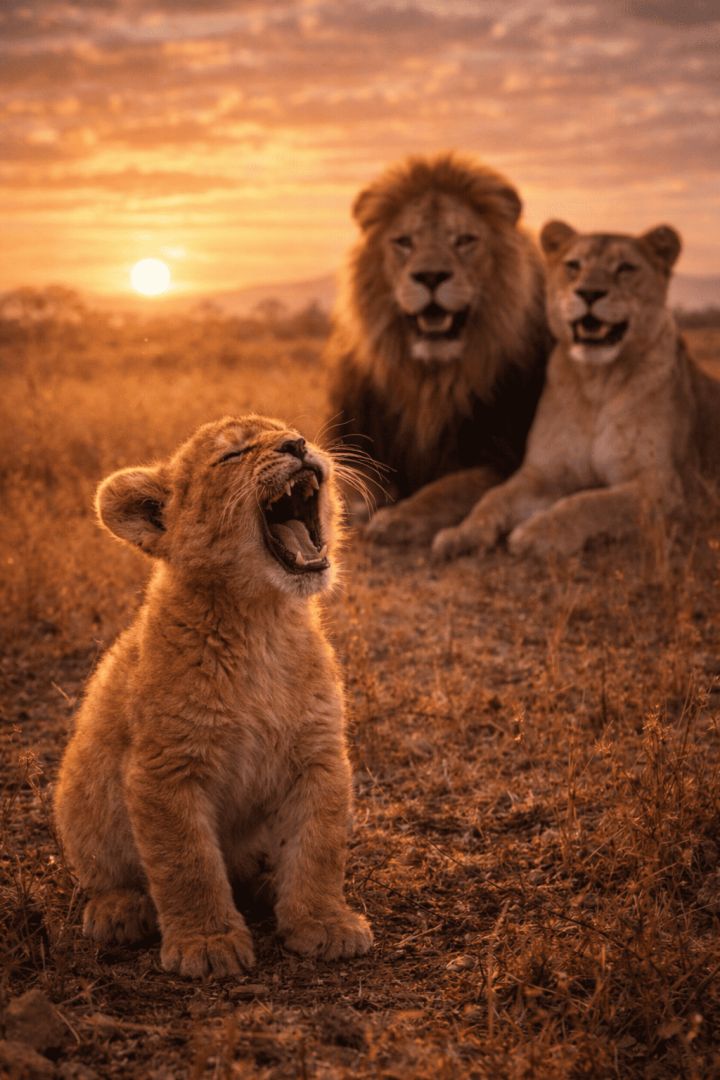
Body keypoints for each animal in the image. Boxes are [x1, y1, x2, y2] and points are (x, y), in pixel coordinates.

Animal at [54, 415, 373, 979]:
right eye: (232, 456)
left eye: (289, 430)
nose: (297, 445)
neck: (263, 622)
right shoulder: (165, 768)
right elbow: (187, 862)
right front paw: (206, 943)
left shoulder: (319, 755)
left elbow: (319, 846)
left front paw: (324, 923)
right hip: (78, 794)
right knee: (103, 873)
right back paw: (119, 911)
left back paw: (268, 883)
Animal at [327, 152, 551, 546]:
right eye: (404, 241)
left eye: (464, 240)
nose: (431, 276)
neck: (430, 382)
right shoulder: (357, 440)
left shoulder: (502, 457)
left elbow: (451, 487)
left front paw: (398, 517)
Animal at [432, 221, 720, 562]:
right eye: (574, 266)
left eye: (625, 268)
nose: (589, 293)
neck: (598, 381)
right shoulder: (543, 472)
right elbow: (494, 496)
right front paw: (461, 533)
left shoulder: (660, 483)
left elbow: (591, 502)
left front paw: (540, 533)